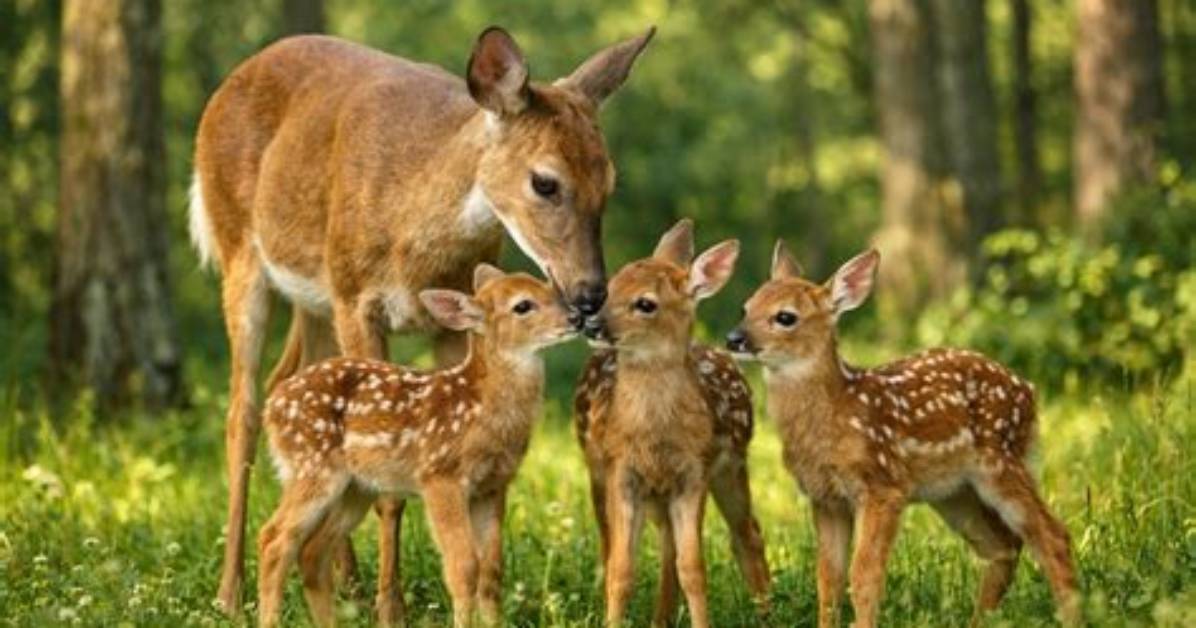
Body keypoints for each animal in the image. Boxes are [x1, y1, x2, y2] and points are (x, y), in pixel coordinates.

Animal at [256, 264, 577, 628]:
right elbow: (463, 567)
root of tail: (272, 406)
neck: (479, 409)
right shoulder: (440, 475)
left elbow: (492, 571)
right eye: (523, 305)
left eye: (550, 289)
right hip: (312, 465)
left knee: (312, 551)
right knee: (274, 539)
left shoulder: (493, 486)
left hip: (356, 488)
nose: (576, 317)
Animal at [573, 219, 771, 627]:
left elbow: (693, 568)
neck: (655, 435)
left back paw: (766, 614)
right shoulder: (622, 472)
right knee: (614, 546)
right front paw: (613, 621)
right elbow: (622, 569)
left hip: (730, 467)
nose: (592, 324)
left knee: (746, 534)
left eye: (646, 303)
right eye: (611, 287)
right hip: (600, 474)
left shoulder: (693, 474)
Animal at [725, 242, 1081, 627]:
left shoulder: (883, 486)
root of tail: (1028, 391)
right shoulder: (826, 498)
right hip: (954, 492)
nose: (734, 338)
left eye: (786, 317)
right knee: (1005, 545)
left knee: (1053, 535)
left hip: (1002, 460)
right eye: (746, 307)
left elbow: (863, 576)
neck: (836, 415)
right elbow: (828, 580)